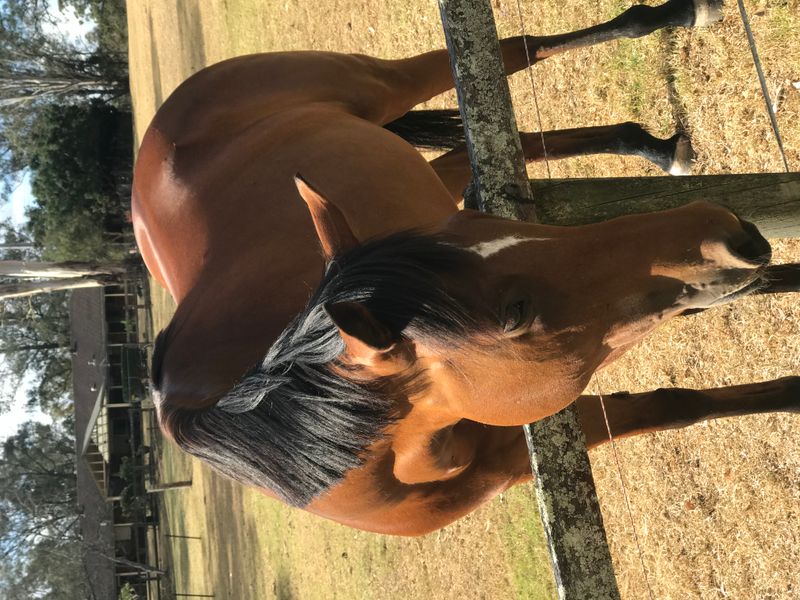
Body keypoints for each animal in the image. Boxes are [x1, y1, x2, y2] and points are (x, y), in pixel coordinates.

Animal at [132, 0, 798, 535]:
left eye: (468, 229)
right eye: (515, 312)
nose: (720, 233)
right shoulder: (519, 441)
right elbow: (674, 405)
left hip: (382, 84)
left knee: (521, 51)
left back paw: (678, 28)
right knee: (508, 134)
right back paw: (653, 147)